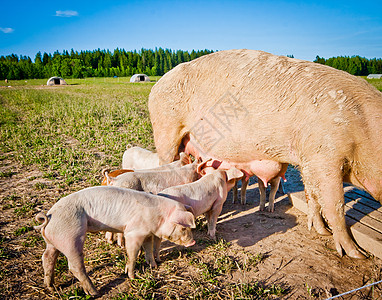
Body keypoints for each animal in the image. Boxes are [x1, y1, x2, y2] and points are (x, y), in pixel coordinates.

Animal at [148, 48, 382, 258]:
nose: (360, 254)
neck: (364, 131)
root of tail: (156, 85)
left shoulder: (308, 161)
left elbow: (313, 196)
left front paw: (322, 232)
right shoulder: (325, 156)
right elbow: (336, 206)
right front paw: (357, 255)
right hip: (165, 130)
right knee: (164, 162)